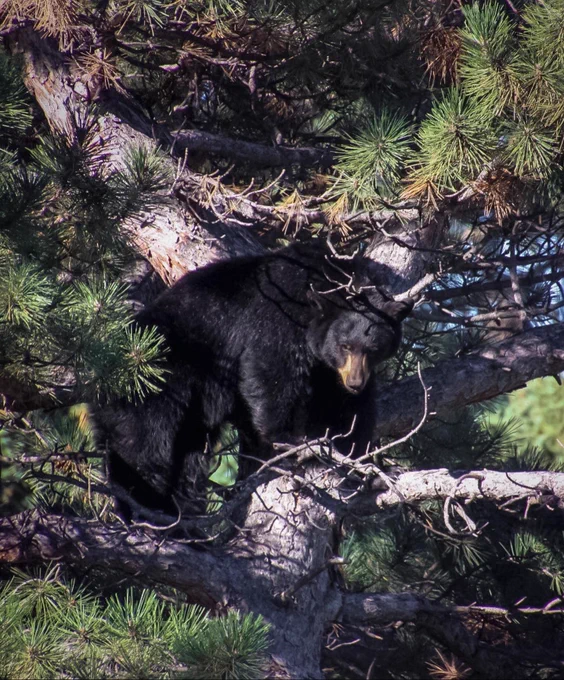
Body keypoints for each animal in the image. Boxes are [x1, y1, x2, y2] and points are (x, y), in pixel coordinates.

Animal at [93, 241, 412, 517]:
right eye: (345, 345)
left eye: (373, 348)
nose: (355, 382)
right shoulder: (278, 313)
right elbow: (271, 369)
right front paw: (289, 440)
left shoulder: (330, 372)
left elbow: (348, 413)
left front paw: (371, 470)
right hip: (158, 382)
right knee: (144, 447)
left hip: (192, 416)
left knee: (188, 462)